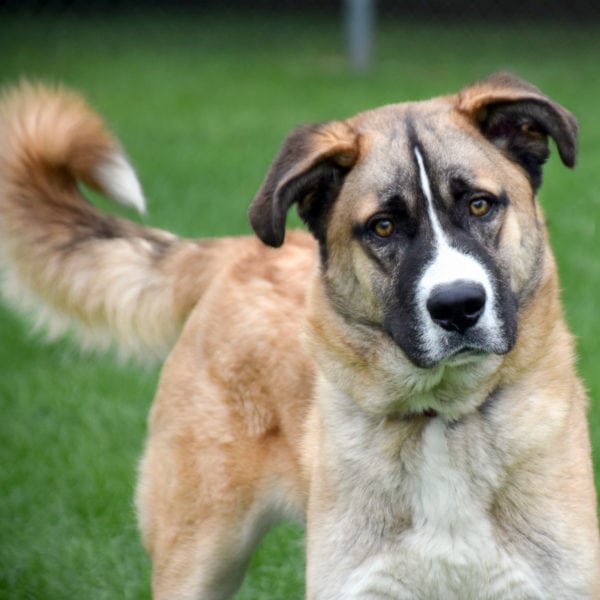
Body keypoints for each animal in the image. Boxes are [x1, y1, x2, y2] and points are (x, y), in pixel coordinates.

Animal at [1, 72, 600, 596]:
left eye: (480, 204)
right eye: (383, 226)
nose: (457, 307)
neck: (441, 418)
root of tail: (239, 252)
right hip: (198, 555)